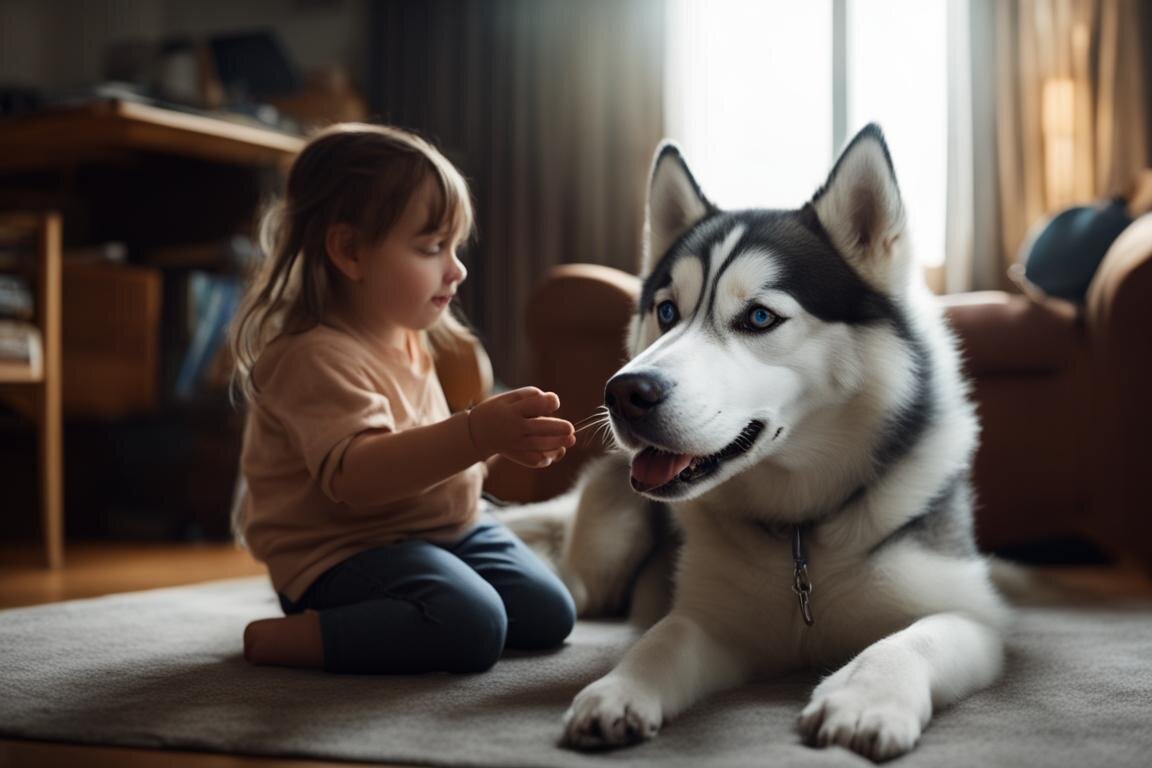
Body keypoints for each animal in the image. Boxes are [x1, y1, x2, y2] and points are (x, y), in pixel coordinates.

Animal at [513, 126, 1009, 764]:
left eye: (758, 318)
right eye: (666, 310)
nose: (625, 393)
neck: (800, 535)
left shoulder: (973, 617)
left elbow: (907, 643)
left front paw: (864, 701)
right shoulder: (716, 621)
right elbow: (663, 639)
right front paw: (617, 688)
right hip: (607, 549)